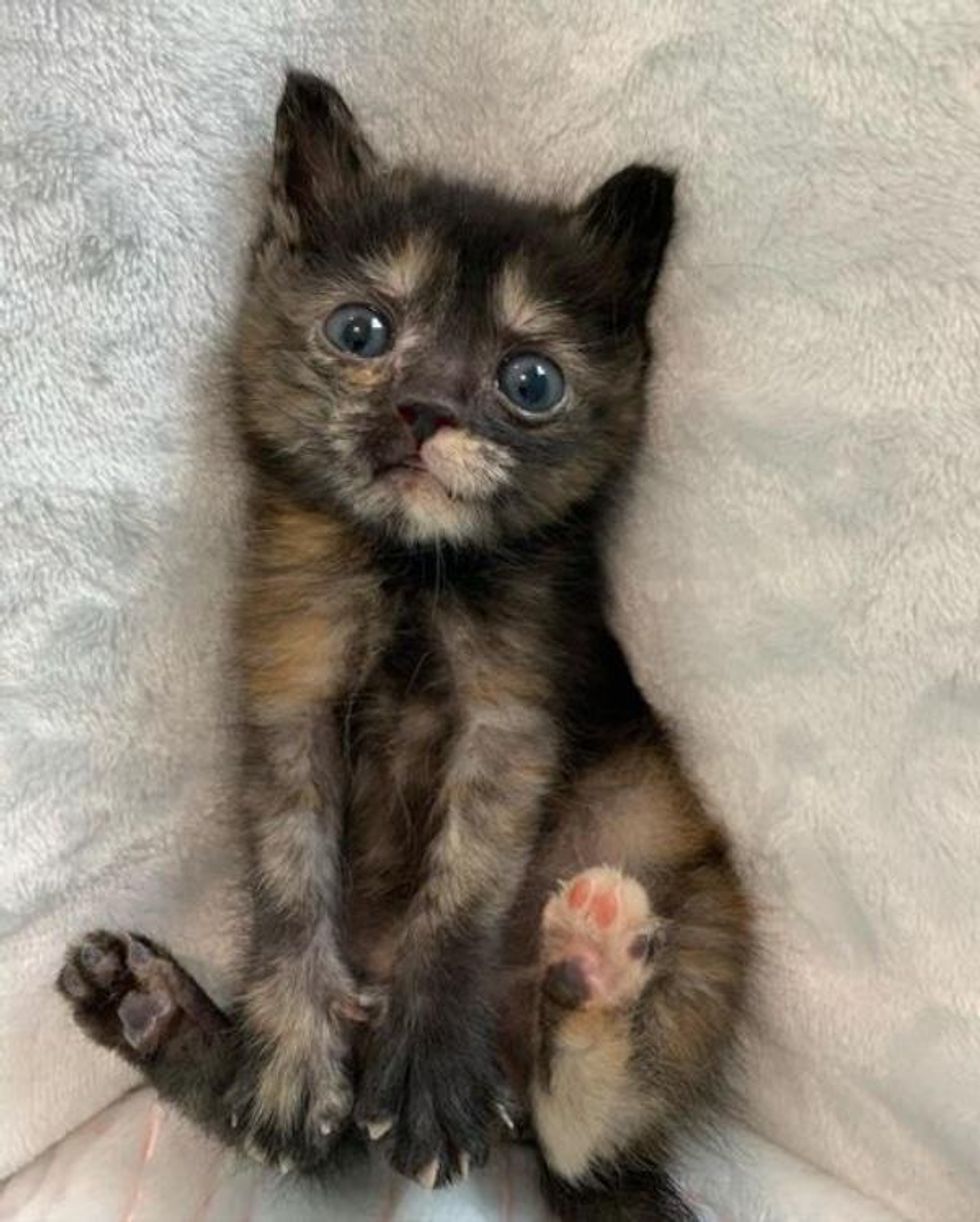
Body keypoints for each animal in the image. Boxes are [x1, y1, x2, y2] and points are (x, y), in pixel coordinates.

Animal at [59, 71, 747, 1217]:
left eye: (529, 382)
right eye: (361, 329)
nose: (424, 410)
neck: (410, 568)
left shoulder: (511, 713)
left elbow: (463, 888)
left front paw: (429, 1061)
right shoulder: (289, 692)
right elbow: (292, 878)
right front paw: (290, 1057)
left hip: (695, 905)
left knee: (582, 1141)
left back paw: (589, 967)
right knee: (341, 1146)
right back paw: (148, 1008)